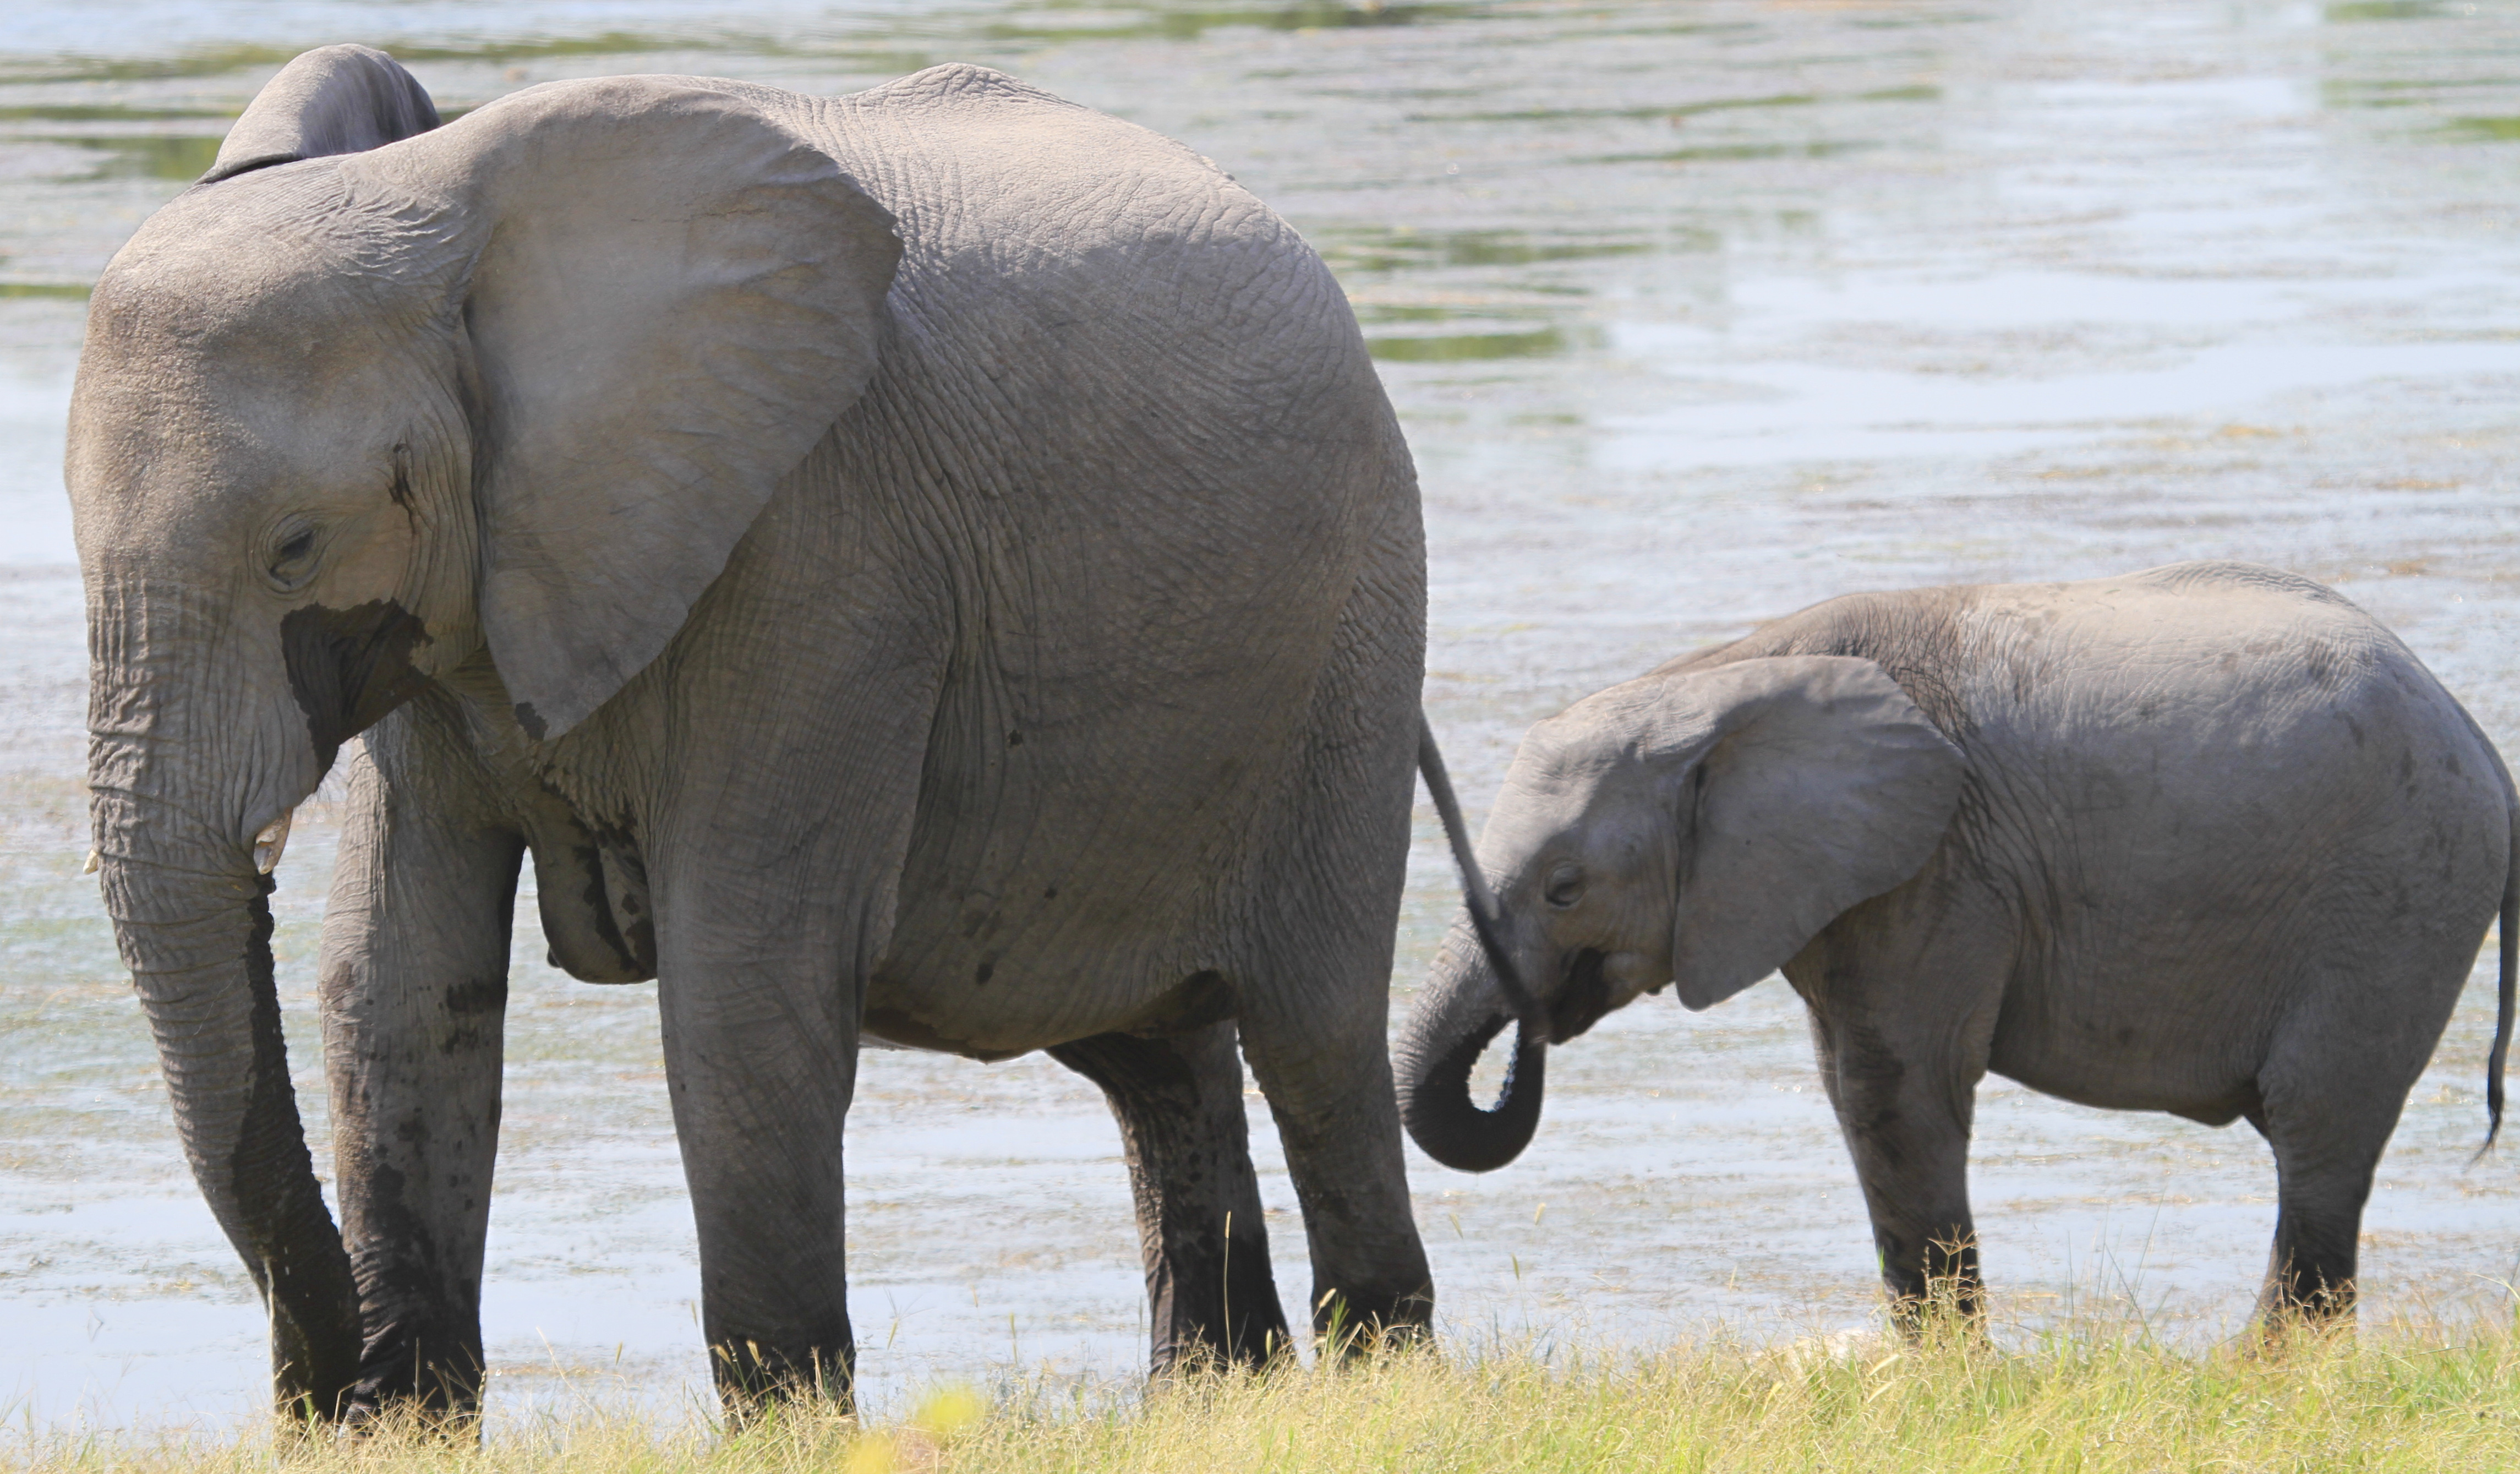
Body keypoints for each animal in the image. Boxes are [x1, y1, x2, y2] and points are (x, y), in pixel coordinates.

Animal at [70, 44, 1455, 1420]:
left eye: (295, 551)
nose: (315, 1391)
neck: (447, 211)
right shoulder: (460, 604)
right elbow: (398, 977)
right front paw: (405, 1424)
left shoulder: (824, 550)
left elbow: (740, 983)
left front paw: (790, 1418)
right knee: (1157, 1054)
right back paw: (1217, 1387)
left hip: (1353, 636)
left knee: (1315, 1037)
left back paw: (1381, 1365)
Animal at [1395, 561, 2516, 1327]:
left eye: (1564, 888)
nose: (1532, 1026)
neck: (1721, 680)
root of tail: (2474, 734)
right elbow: (1852, 1089)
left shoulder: (1937, 867)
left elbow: (1896, 1092)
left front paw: (1944, 1377)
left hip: (2395, 894)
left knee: (2317, 1130)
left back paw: (2260, 1372)